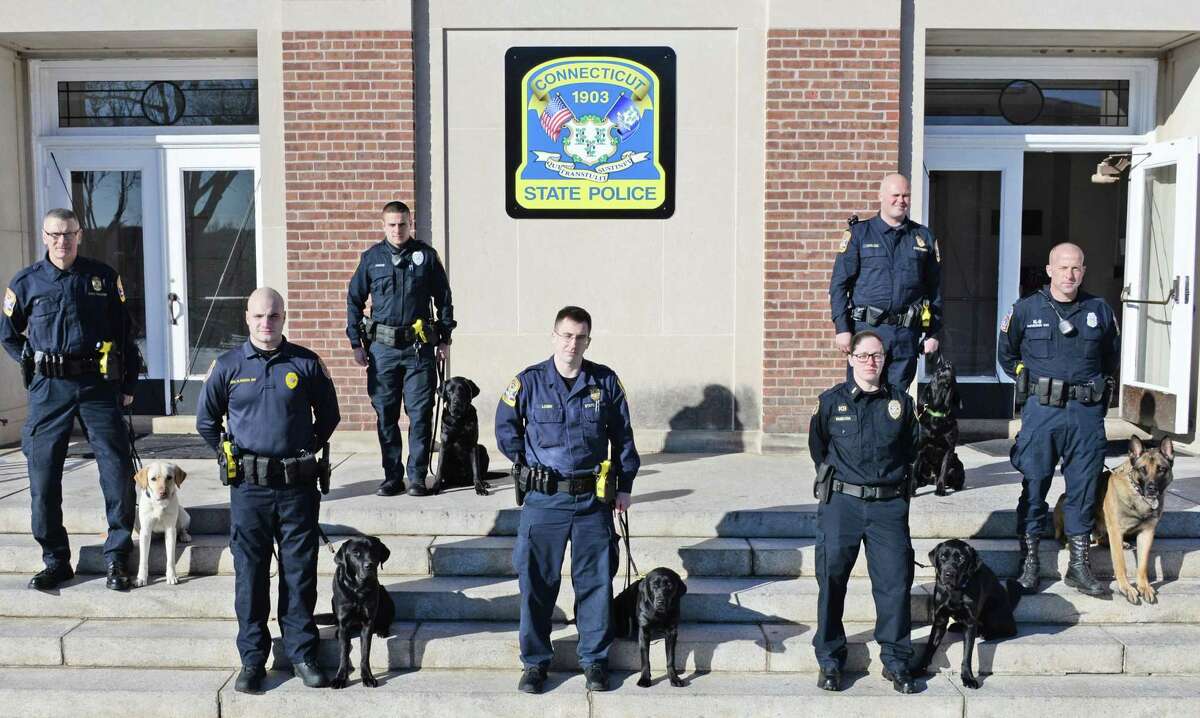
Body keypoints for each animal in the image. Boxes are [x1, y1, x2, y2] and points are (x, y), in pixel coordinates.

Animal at [916, 357, 964, 497]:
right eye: (936, 371)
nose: (947, 363)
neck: (938, 413)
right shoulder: (919, 448)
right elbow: (913, 471)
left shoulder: (949, 449)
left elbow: (943, 470)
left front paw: (941, 489)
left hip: (957, 464)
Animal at [1056, 437, 1176, 605]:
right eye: (1143, 469)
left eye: (1161, 469)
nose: (1152, 489)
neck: (1137, 494)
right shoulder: (1116, 531)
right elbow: (1120, 564)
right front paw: (1126, 588)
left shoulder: (1146, 533)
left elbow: (1143, 565)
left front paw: (1144, 586)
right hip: (1067, 503)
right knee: (1063, 535)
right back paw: (1069, 543)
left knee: (1101, 540)